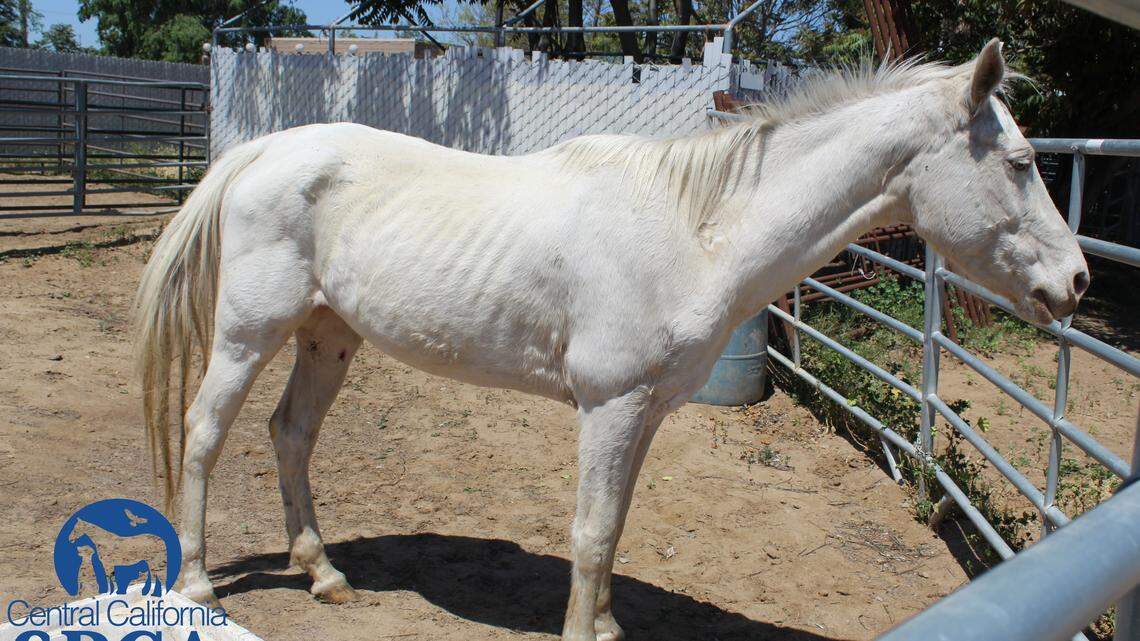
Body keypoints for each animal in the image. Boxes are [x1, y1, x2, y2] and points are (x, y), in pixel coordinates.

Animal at [134, 39, 1088, 641]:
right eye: (1020, 163)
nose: (1077, 282)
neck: (694, 229)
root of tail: (264, 150)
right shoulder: (611, 405)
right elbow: (591, 531)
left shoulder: (646, 412)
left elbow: (616, 526)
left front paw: (603, 623)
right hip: (249, 332)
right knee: (205, 432)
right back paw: (195, 583)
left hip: (327, 337)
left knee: (290, 435)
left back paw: (324, 573)